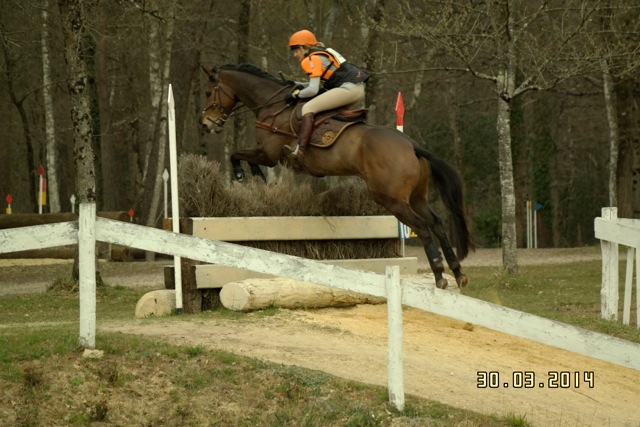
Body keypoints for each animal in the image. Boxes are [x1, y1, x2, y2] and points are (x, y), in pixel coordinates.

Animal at [202, 63, 472, 290]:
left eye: (207, 93)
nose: (206, 124)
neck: (273, 106)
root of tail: (412, 145)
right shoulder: (267, 155)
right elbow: (244, 158)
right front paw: (255, 178)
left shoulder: (269, 154)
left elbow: (237, 155)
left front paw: (240, 176)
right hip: (416, 197)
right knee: (437, 223)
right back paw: (457, 273)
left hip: (391, 199)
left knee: (423, 227)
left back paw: (439, 275)